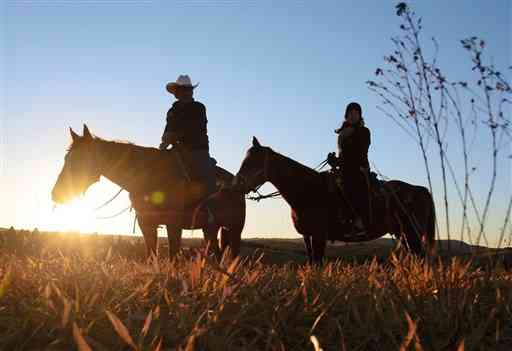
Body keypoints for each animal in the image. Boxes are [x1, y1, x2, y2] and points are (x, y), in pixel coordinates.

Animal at [51, 125, 246, 260]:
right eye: (66, 158)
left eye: (79, 160)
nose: (56, 194)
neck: (150, 177)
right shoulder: (146, 223)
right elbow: (151, 255)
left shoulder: (173, 223)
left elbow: (173, 256)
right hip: (211, 228)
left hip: (235, 229)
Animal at [234, 138, 434, 264]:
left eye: (253, 162)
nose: (235, 184)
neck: (308, 189)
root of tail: (421, 190)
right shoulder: (307, 236)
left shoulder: (319, 235)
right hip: (404, 235)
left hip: (412, 234)